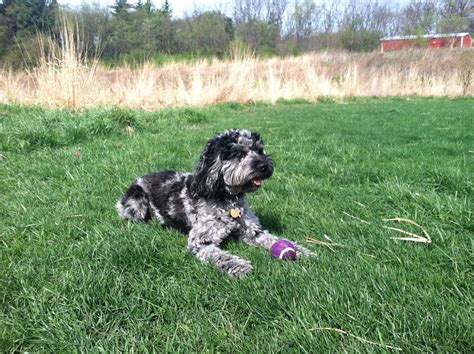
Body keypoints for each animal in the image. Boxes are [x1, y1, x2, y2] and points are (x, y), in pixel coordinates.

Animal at [116, 129, 314, 278]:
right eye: (239, 153)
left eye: (259, 150)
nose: (264, 166)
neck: (228, 199)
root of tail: (140, 177)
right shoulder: (200, 241)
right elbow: (219, 255)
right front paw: (239, 266)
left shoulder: (253, 231)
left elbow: (274, 240)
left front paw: (302, 251)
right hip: (136, 204)